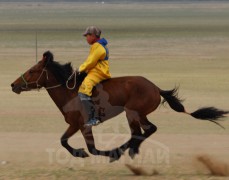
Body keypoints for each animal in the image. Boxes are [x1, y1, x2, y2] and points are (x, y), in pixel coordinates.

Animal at [10, 50, 227, 162]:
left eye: (32, 71)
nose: (13, 85)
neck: (69, 92)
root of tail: (155, 87)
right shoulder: (76, 125)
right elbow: (65, 141)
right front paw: (86, 152)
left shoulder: (82, 124)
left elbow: (89, 148)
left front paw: (103, 153)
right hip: (138, 114)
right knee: (147, 130)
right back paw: (130, 150)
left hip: (132, 113)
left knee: (140, 132)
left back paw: (124, 151)